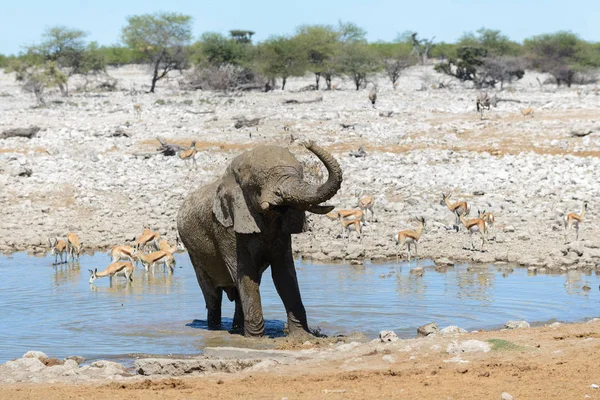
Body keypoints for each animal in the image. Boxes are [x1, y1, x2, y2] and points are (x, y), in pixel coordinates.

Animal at [177, 141, 342, 338]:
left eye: (300, 174)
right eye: (257, 183)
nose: (308, 143)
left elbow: (284, 273)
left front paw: (302, 336)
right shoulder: (226, 227)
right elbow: (244, 272)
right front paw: (256, 340)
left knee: (238, 295)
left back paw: (237, 329)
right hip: (194, 253)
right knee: (212, 295)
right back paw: (215, 328)